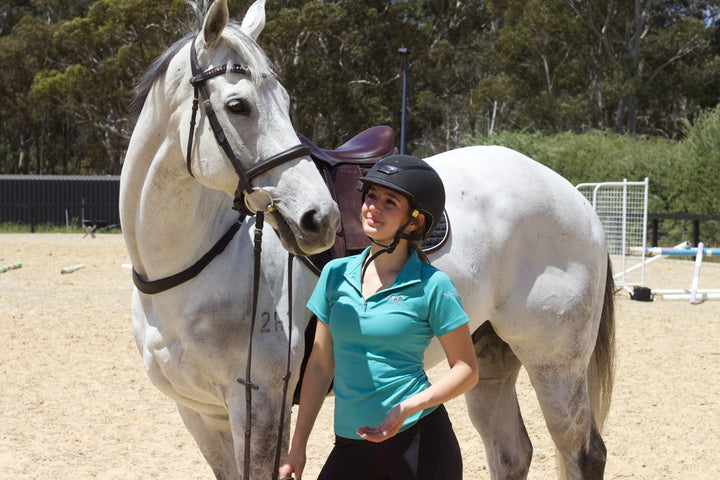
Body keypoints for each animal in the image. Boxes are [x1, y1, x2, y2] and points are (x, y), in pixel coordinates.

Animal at [122, 0, 612, 480]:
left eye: (285, 101)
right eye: (238, 105)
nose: (320, 218)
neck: (192, 269)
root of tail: (573, 196)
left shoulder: (261, 407)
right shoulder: (201, 414)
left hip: (555, 362)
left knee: (583, 452)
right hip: (489, 356)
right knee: (512, 454)